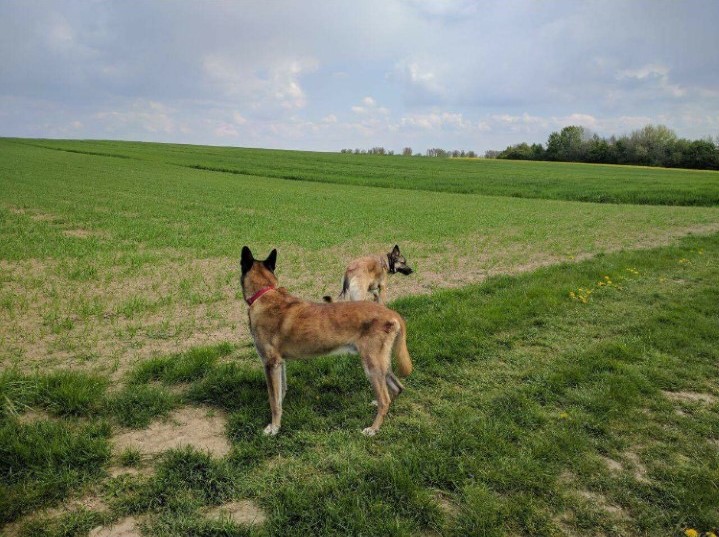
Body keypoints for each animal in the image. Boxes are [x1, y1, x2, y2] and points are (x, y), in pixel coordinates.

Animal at [242, 247, 414, 436]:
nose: (410, 270)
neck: (264, 293)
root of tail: (391, 312)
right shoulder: (280, 363)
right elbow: (281, 393)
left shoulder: (270, 364)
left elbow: (274, 401)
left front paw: (274, 428)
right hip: (381, 364)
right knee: (396, 389)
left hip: (372, 367)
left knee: (385, 399)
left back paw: (373, 428)